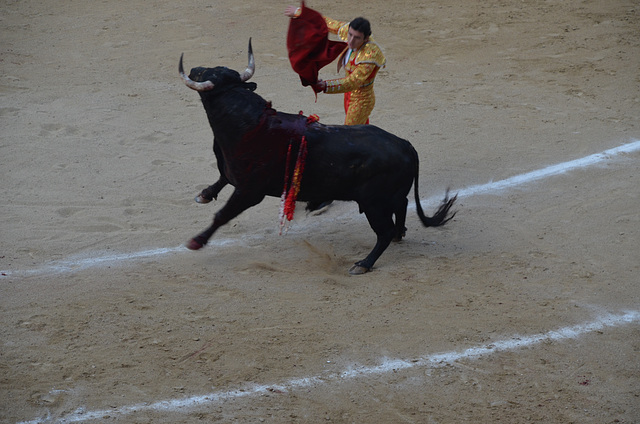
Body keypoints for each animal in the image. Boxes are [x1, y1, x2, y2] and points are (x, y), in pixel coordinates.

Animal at [181, 41, 456, 274]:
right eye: (212, 70)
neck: (249, 124)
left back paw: (363, 264)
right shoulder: (234, 174)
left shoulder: (250, 191)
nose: (193, 68)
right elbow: (221, 178)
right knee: (402, 207)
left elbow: (222, 214)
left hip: (374, 204)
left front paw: (196, 241)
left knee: (384, 231)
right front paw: (203, 195)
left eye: (206, 75)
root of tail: (405, 144)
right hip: (390, 196)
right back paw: (399, 235)